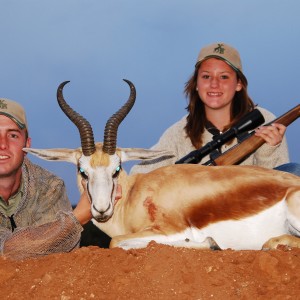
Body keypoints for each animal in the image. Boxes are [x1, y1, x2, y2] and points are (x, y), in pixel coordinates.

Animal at [24, 79, 300, 251]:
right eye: (82, 170)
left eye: (116, 169)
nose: (101, 210)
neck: (134, 197)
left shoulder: (169, 229)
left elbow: (117, 243)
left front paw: (210, 243)